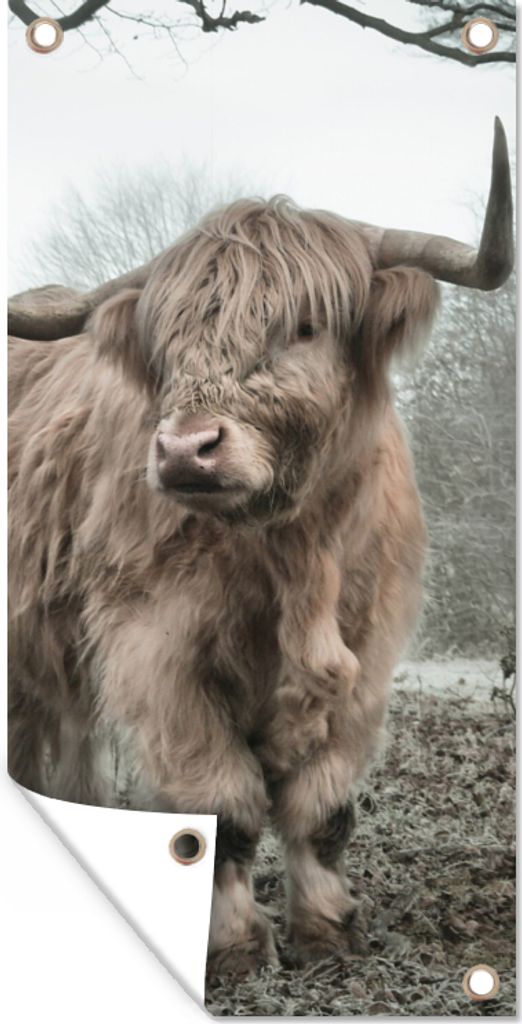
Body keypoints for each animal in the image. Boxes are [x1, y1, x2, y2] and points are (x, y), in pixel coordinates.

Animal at [8, 119, 513, 978]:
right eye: (168, 342)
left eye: (304, 326)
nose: (185, 449)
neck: (294, 555)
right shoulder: (157, 654)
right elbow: (223, 808)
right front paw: (237, 945)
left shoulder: (367, 655)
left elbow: (324, 809)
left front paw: (329, 929)